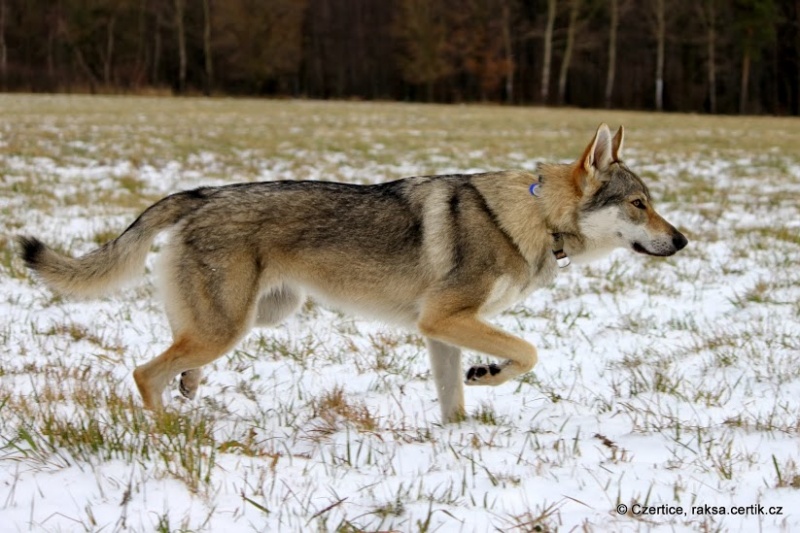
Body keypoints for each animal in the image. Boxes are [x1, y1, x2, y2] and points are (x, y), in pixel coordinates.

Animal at [15, 122, 684, 422]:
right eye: (639, 203)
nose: (682, 240)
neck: (535, 217)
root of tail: (200, 195)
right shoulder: (449, 319)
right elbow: (527, 353)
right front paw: (489, 372)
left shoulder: (437, 330)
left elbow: (454, 400)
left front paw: (459, 439)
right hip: (229, 327)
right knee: (143, 371)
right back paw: (169, 430)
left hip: (258, 317)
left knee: (176, 359)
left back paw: (190, 388)